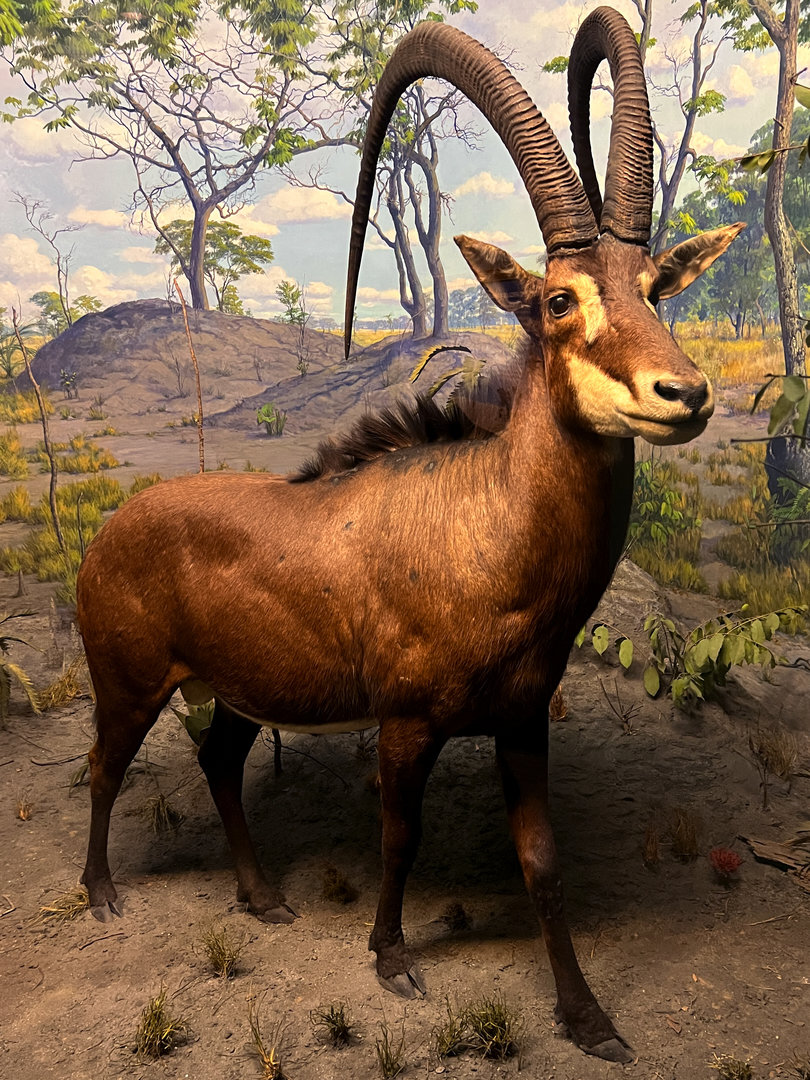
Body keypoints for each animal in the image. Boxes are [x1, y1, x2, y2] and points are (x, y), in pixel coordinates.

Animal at [76, 7, 742, 1062]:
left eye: (654, 288)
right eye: (560, 298)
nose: (684, 394)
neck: (486, 527)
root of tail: (109, 533)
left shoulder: (521, 721)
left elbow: (541, 860)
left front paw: (589, 1019)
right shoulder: (406, 724)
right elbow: (400, 836)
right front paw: (391, 959)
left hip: (238, 691)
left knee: (219, 761)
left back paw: (262, 898)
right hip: (130, 684)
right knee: (105, 767)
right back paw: (102, 895)